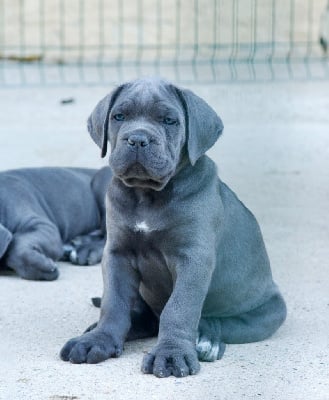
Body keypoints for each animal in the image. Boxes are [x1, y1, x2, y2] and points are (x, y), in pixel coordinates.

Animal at [60, 78, 286, 378]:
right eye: (119, 116)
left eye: (169, 120)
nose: (137, 139)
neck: (147, 195)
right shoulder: (117, 254)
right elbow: (114, 302)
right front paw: (99, 339)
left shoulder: (193, 258)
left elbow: (179, 307)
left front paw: (172, 354)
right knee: (144, 318)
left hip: (270, 310)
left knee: (217, 323)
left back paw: (207, 342)